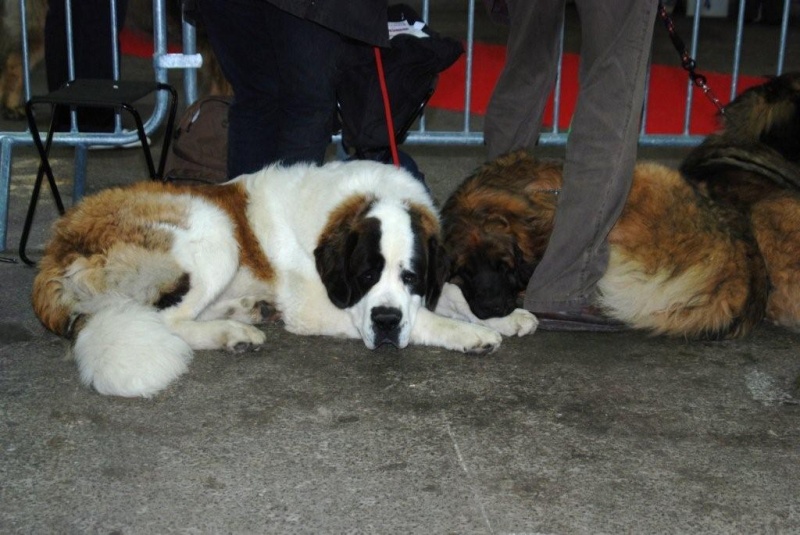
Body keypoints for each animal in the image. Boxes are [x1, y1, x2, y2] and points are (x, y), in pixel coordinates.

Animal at [34, 159, 540, 398]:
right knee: (168, 322)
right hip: (216, 231)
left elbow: (443, 296)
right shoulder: (319, 308)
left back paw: (246, 310)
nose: (385, 323)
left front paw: (501, 316)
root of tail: (58, 243)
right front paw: (472, 335)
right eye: (365, 274)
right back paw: (233, 332)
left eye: (411, 276)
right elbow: (426, 320)